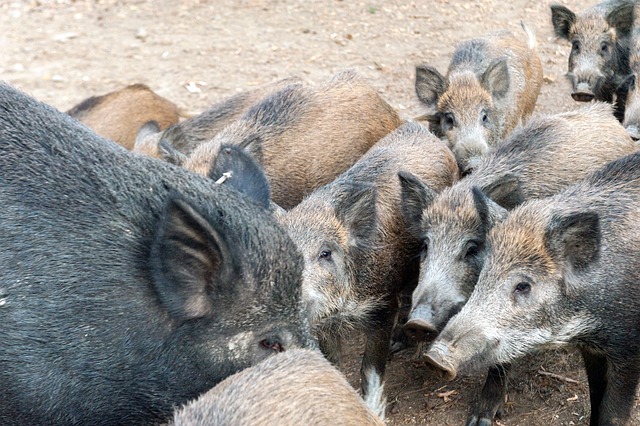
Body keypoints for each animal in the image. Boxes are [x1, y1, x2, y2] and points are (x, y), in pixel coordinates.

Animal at [278, 121, 459, 417]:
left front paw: (375, 412)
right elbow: (333, 363)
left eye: (325, 253)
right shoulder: (325, 325)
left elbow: (370, 367)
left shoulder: (381, 306)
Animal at [415, 23, 543, 174]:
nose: (473, 164)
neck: (465, 81)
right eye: (449, 119)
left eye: (484, 117)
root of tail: (530, 48)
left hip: (530, 107)